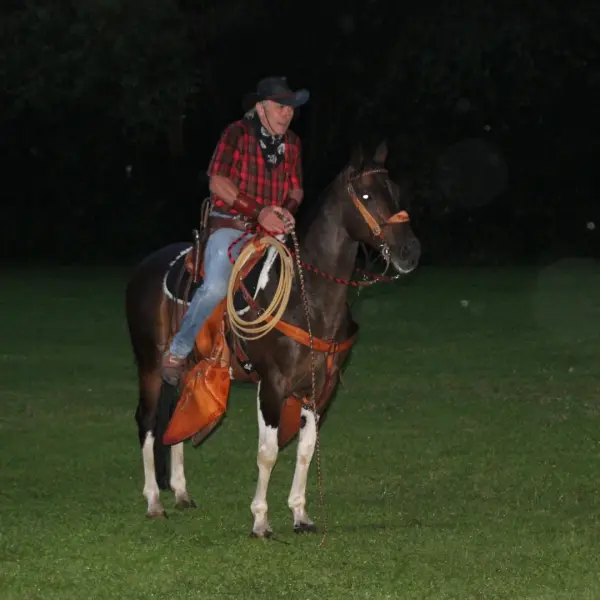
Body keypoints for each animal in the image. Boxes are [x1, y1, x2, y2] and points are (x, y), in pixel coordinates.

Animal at [124, 140, 421, 537]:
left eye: (396, 192)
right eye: (366, 194)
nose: (410, 251)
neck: (308, 297)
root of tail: (145, 268)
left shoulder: (320, 388)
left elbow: (306, 449)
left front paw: (300, 514)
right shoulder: (272, 384)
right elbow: (267, 453)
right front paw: (260, 520)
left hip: (185, 370)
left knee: (175, 419)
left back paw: (182, 493)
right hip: (149, 364)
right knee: (147, 421)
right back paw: (155, 501)